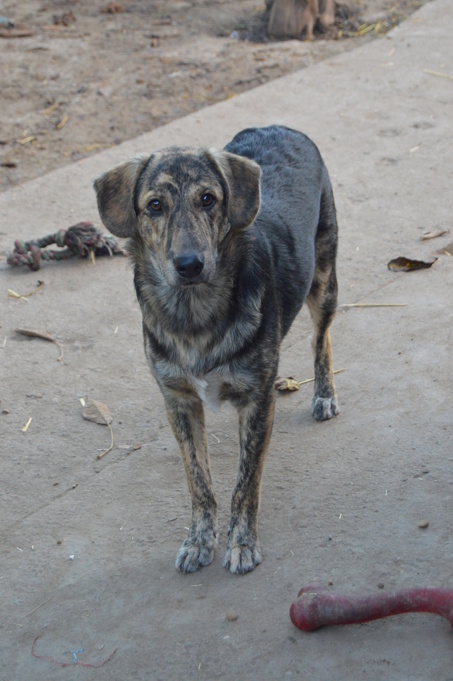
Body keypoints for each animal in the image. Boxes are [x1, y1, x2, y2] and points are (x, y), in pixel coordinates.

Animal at [93, 125, 338, 572]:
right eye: (154, 205)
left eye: (208, 199)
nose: (189, 264)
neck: (195, 314)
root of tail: (280, 127)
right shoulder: (179, 402)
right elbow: (198, 480)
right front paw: (198, 540)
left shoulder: (257, 402)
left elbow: (246, 483)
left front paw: (241, 543)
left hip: (324, 278)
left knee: (321, 335)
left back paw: (324, 394)